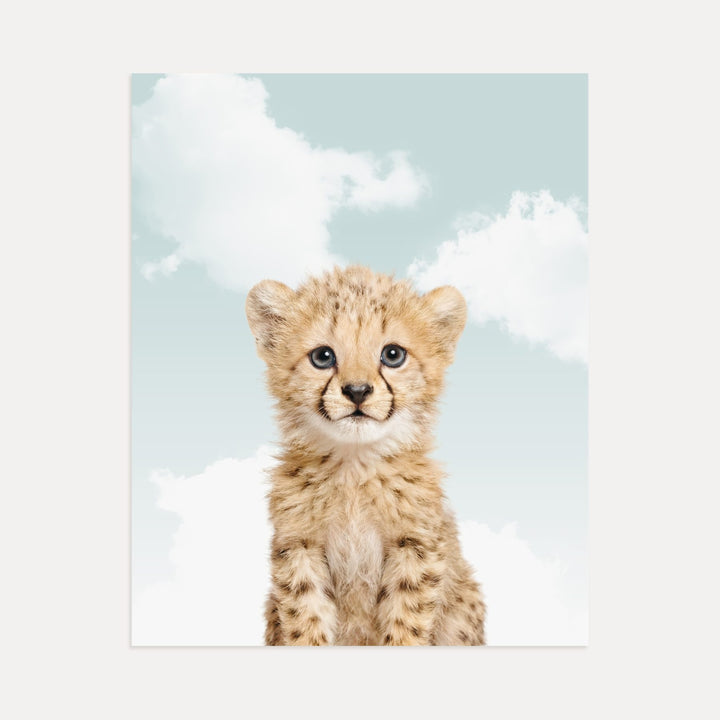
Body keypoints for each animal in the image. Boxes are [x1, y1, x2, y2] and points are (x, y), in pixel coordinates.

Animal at [246, 265, 485, 645]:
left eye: (393, 355)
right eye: (323, 357)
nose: (357, 391)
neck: (354, 467)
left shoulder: (415, 546)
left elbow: (406, 622)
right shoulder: (299, 546)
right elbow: (305, 620)